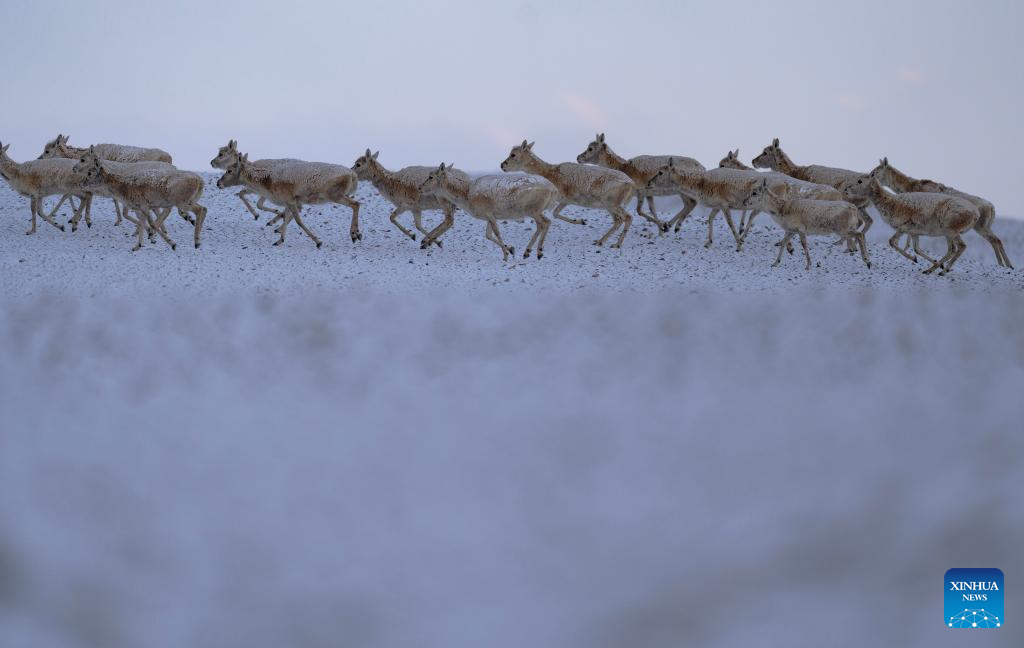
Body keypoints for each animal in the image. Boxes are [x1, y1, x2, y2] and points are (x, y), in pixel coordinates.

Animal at [417, 163, 561, 260]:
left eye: (430, 176)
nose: (419, 187)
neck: (467, 194)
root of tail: (553, 189)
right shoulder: (490, 217)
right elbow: (488, 235)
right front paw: (511, 250)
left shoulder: (489, 214)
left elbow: (496, 233)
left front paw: (505, 255)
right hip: (534, 211)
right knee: (541, 225)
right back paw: (528, 252)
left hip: (533, 210)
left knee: (546, 223)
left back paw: (539, 252)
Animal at [843, 176, 978, 274]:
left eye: (860, 181)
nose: (846, 189)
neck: (890, 201)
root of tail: (975, 213)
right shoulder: (914, 233)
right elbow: (917, 249)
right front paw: (930, 261)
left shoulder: (903, 228)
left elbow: (892, 242)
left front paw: (914, 259)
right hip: (948, 234)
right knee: (952, 250)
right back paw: (933, 269)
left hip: (951, 232)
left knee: (960, 247)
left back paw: (942, 271)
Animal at [868, 156, 1011, 268]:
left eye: (876, 171)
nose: (869, 174)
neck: (907, 187)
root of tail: (992, 207)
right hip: (981, 227)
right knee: (996, 240)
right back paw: (1007, 265)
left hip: (979, 227)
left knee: (994, 240)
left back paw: (1004, 264)